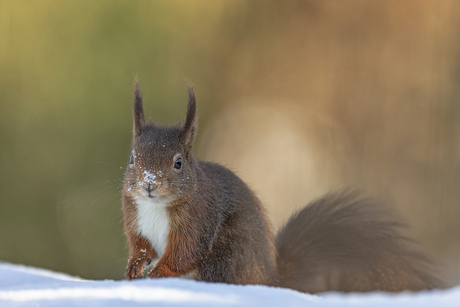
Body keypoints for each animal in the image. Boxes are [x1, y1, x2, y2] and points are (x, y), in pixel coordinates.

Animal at [122, 79, 442, 294]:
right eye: (132, 158)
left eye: (177, 163)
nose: (149, 184)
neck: (155, 206)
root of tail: (270, 278)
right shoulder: (135, 217)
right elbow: (141, 246)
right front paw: (134, 267)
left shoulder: (198, 219)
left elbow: (184, 253)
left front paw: (157, 273)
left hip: (230, 255)